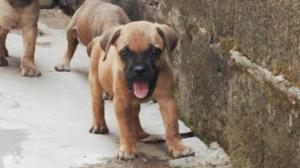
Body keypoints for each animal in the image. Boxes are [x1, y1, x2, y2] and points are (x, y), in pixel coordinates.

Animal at [88, 21, 195, 160]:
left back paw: (141, 134)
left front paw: (178, 147)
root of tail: (97, 39)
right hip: (95, 82)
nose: (139, 70)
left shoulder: (167, 101)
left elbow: (172, 126)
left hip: (133, 102)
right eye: (124, 52)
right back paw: (99, 125)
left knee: (134, 115)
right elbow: (126, 128)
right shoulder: (122, 102)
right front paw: (128, 149)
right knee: (98, 104)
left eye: (155, 51)